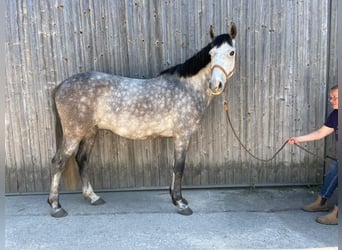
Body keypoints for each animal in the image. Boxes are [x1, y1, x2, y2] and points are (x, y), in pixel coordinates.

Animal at [48, 24, 236, 218]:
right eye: (211, 54)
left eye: (231, 52)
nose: (215, 85)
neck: (187, 87)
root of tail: (60, 86)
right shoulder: (182, 136)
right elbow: (179, 167)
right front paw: (180, 203)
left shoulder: (178, 138)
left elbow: (174, 167)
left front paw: (175, 198)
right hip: (74, 133)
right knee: (58, 162)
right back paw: (56, 206)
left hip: (90, 132)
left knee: (82, 160)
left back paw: (92, 197)